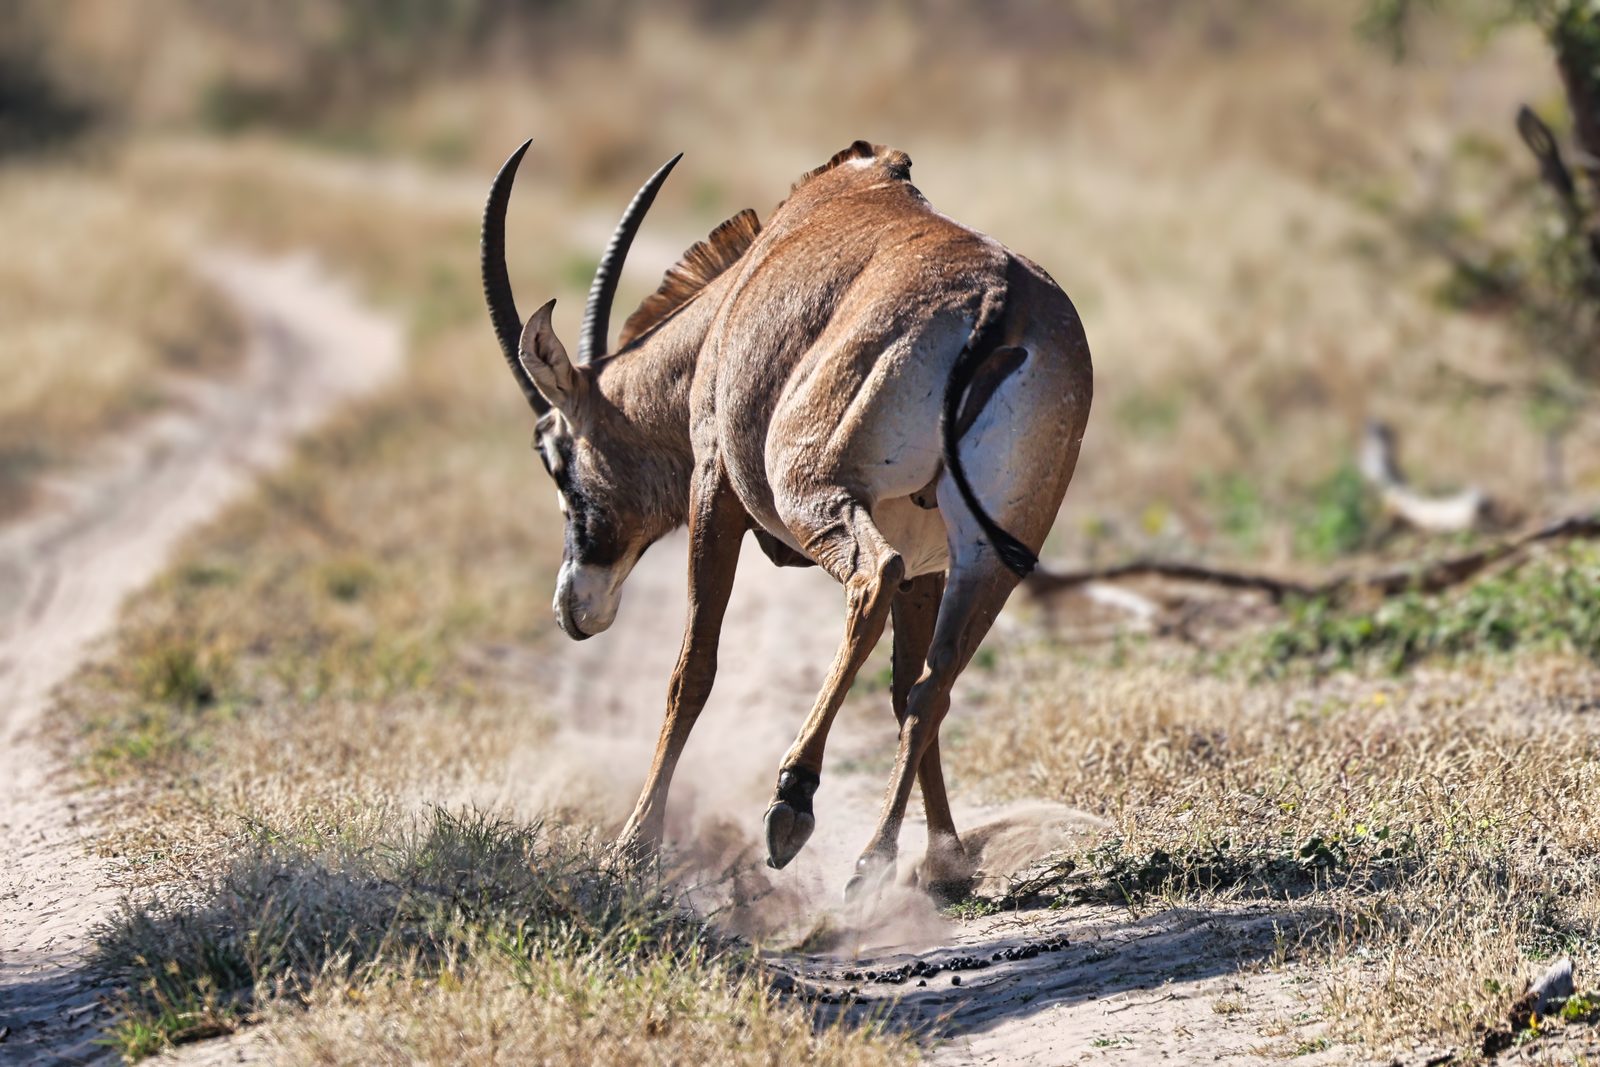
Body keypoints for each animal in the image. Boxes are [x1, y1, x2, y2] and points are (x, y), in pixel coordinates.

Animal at [481, 140, 1091, 896]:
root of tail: (1000, 301)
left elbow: (692, 670)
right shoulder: (930, 562)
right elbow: (907, 687)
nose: (574, 607)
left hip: (814, 494)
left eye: (553, 452)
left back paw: (794, 801)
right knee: (934, 683)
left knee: (871, 580)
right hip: (991, 554)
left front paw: (631, 847)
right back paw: (882, 855)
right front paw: (946, 857)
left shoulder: (714, 491)